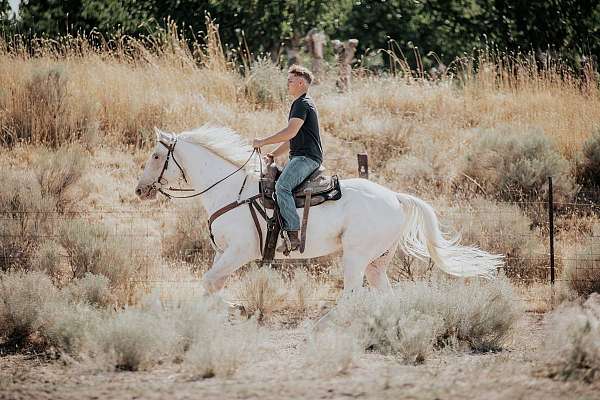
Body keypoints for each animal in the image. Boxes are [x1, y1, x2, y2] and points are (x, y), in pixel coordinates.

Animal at [135, 125, 502, 296]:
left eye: (156, 156)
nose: (139, 190)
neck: (231, 189)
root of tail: (396, 197)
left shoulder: (240, 251)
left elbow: (211, 281)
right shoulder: (223, 253)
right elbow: (214, 283)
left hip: (355, 255)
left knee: (352, 294)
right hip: (377, 261)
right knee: (384, 293)